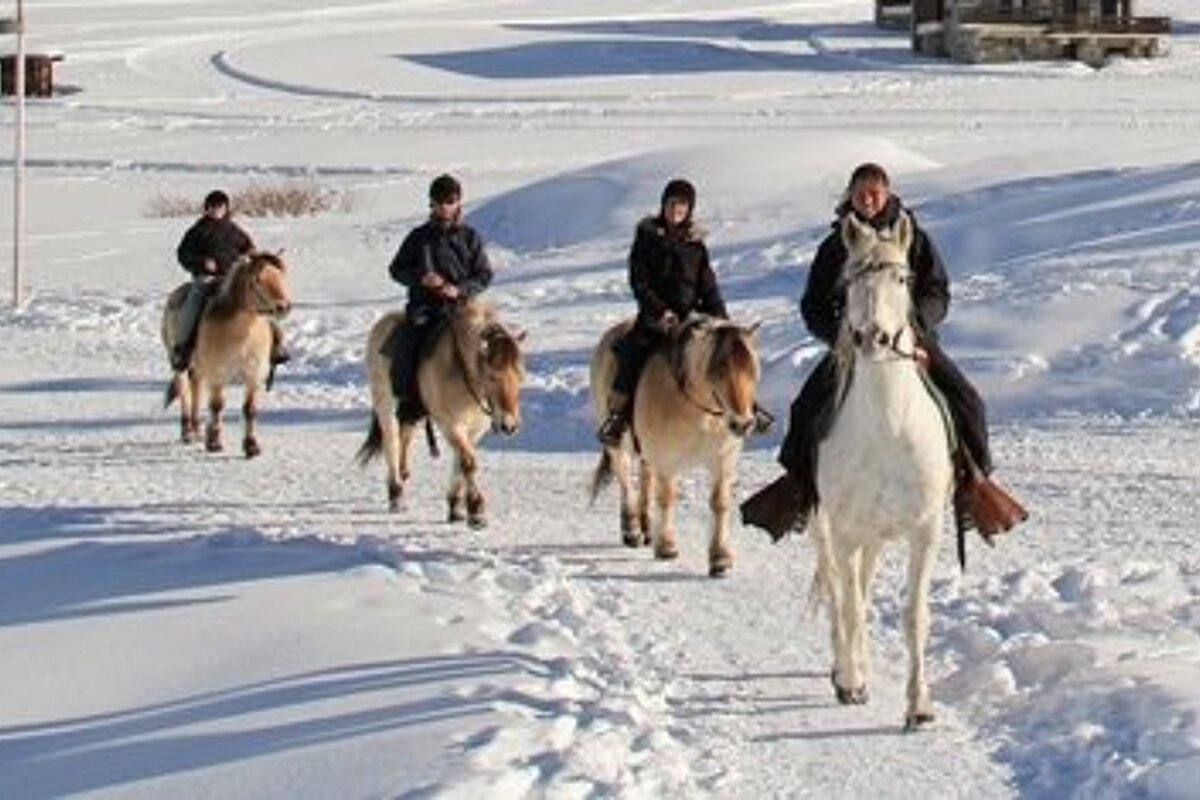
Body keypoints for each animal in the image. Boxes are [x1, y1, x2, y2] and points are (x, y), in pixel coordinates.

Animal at [160, 251, 292, 457]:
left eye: (280, 276)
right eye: (257, 280)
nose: (283, 307)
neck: (241, 335)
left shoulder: (253, 376)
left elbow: (249, 409)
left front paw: (251, 446)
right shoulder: (218, 375)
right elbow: (217, 406)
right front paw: (214, 443)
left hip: (198, 368)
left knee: (196, 388)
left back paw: (197, 431)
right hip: (178, 366)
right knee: (184, 393)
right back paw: (187, 433)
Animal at [357, 298, 525, 526]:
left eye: (520, 376)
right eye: (492, 376)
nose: (509, 425)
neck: (462, 369)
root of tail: (381, 323)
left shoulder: (473, 430)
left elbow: (460, 461)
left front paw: (455, 507)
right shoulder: (451, 425)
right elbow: (468, 462)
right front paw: (476, 510)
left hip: (410, 411)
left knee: (404, 435)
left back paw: (404, 476)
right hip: (385, 403)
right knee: (392, 443)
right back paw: (396, 495)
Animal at [589, 316, 761, 577]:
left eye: (751, 369)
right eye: (717, 370)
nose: (743, 423)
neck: (697, 412)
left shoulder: (723, 460)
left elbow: (719, 503)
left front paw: (720, 558)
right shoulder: (666, 461)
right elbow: (667, 498)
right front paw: (667, 547)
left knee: (645, 479)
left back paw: (647, 528)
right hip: (618, 446)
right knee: (626, 482)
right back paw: (632, 531)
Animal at [809, 211, 955, 731]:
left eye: (902, 278)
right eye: (850, 279)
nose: (873, 338)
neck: (890, 425)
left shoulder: (925, 532)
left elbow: (915, 616)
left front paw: (919, 707)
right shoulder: (846, 531)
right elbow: (849, 605)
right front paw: (851, 683)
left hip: (873, 538)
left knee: (862, 589)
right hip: (828, 530)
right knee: (839, 592)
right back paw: (844, 671)